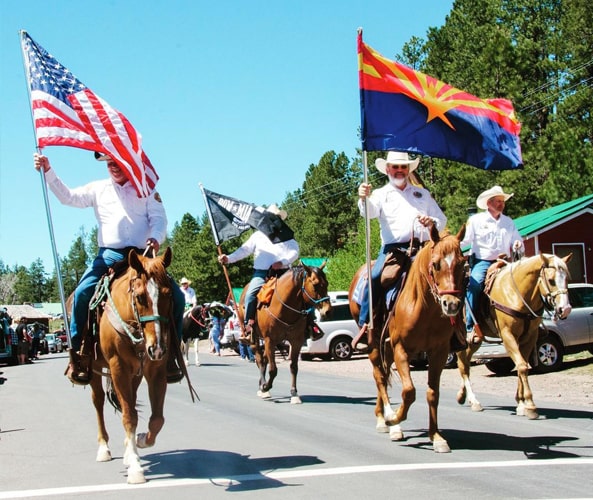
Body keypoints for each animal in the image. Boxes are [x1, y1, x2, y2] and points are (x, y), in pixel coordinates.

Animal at [84, 250, 176, 484]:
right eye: (140, 297)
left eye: (169, 295)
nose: (157, 347)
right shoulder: (118, 367)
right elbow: (128, 416)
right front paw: (135, 467)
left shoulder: (155, 369)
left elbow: (156, 419)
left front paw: (141, 441)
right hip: (96, 371)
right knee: (98, 402)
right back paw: (104, 448)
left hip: (135, 374)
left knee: (131, 402)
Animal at [240, 264, 332, 404]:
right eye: (315, 284)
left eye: (326, 283)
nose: (328, 311)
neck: (284, 308)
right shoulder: (270, 340)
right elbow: (273, 369)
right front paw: (266, 386)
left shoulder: (296, 341)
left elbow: (294, 367)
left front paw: (294, 393)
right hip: (254, 339)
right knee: (260, 360)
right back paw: (263, 388)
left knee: (265, 360)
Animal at [346, 224, 468, 454]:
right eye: (436, 264)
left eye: (462, 264)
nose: (451, 304)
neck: (424, 307)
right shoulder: (402, 349)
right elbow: (409, 391)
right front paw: (394, 419)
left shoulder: (438, 352)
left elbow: (433, 393)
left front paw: (436, 437)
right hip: (374, 344)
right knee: (380, 377)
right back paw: (387, 420)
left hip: (387, 349)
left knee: (384, 376)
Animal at [454, 252, 572, 420]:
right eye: (551, 280)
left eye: (567, 279)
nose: (565, 309)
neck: (517, 294)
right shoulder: (508, 335)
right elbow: (521, 366)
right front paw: (530, 405)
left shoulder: (530, 336)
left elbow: (522, 365)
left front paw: (521, 404)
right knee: (463, 365)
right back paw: (474, 401)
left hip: (475, 341)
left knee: (465, 362)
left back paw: (462, 396)